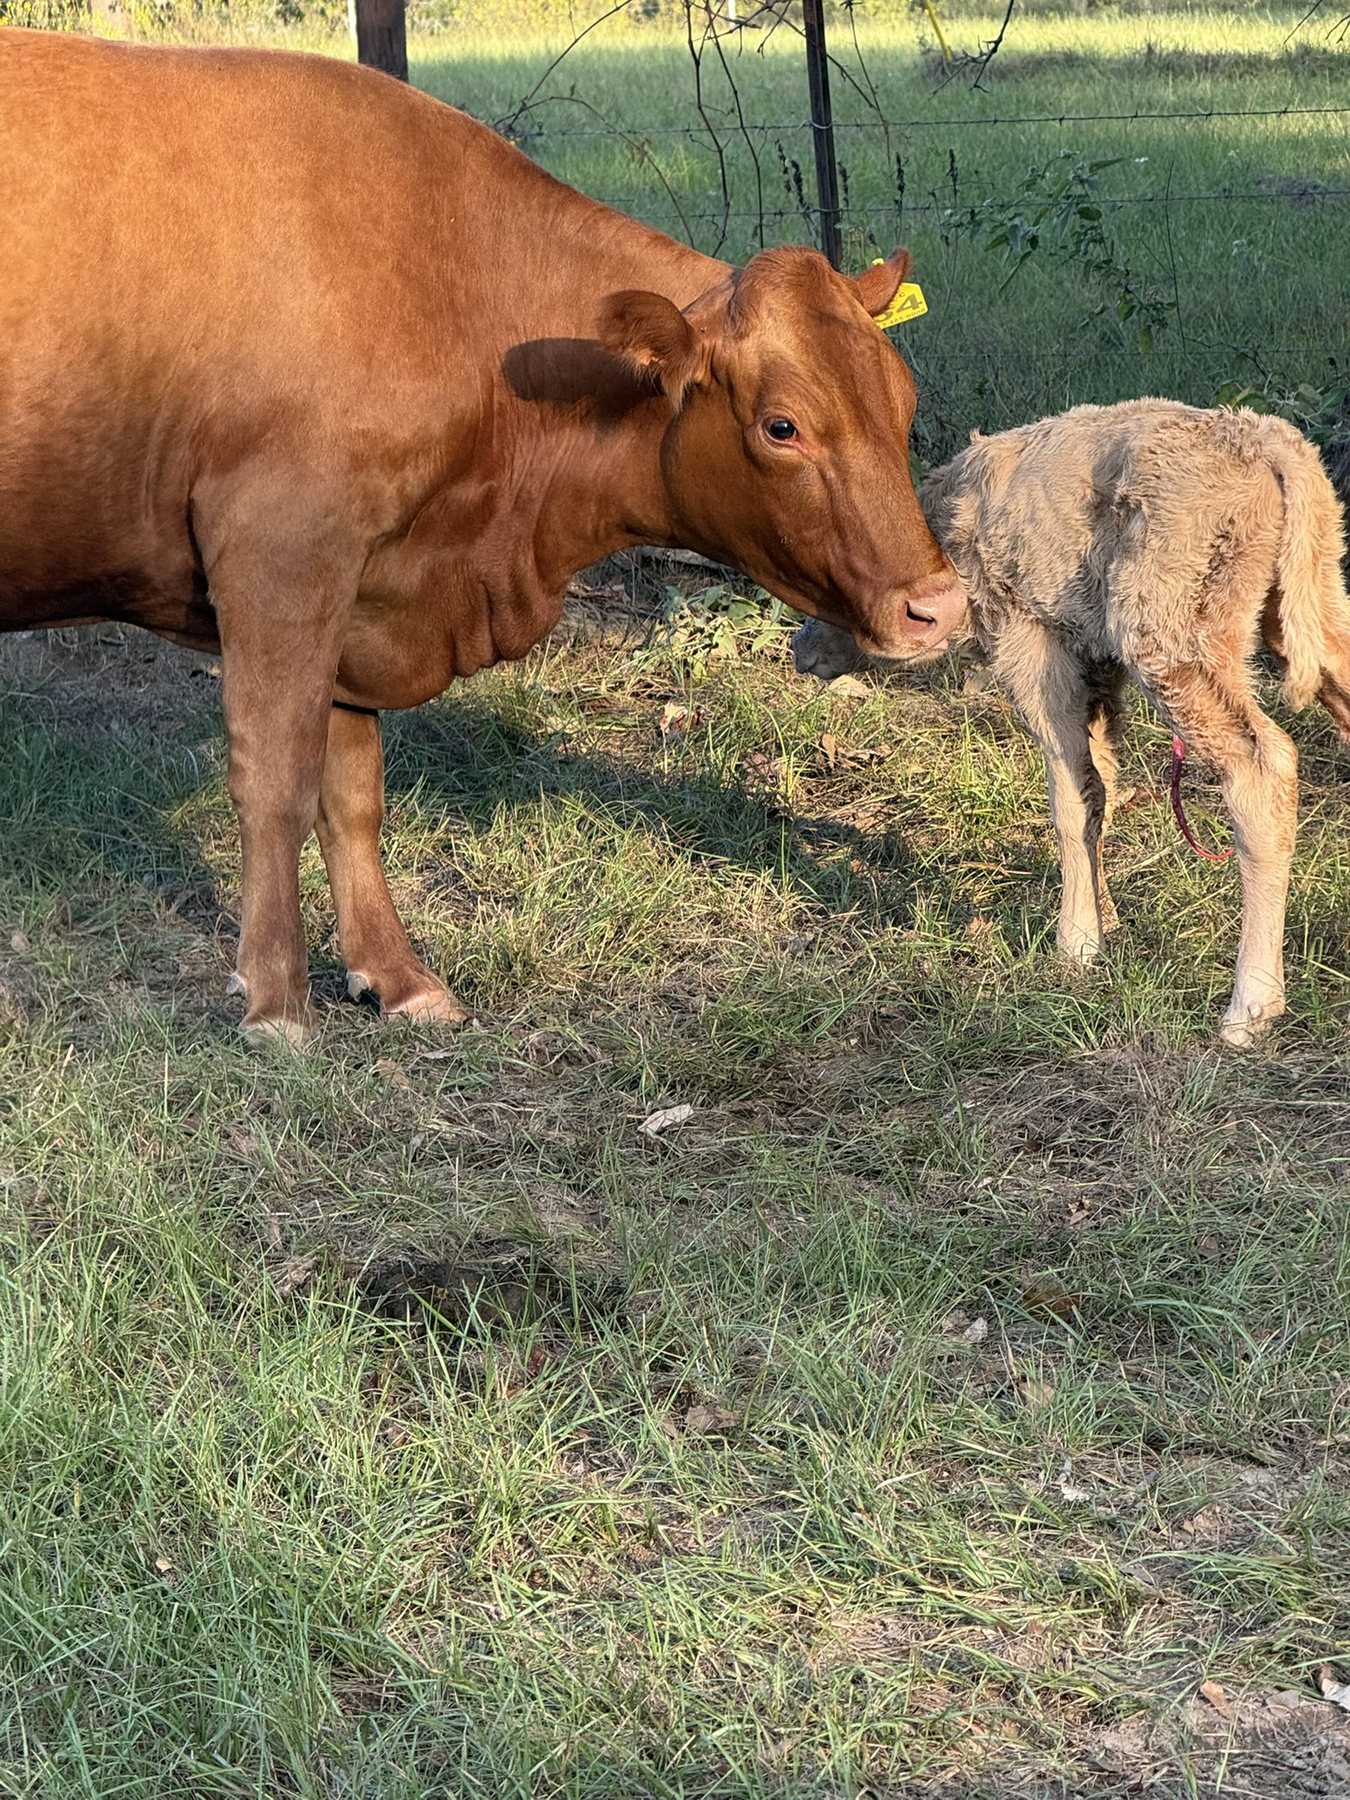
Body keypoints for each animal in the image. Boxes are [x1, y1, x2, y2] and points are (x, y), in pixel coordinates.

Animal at [0, 28, 964, 1043]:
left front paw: (396, 976)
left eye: (902, 396)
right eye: (782, 426)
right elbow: (275, 778)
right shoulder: (280, 557)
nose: (940, 608)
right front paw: (275, 1001)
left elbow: (352, 790)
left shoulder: (363, 588)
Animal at [792, 400, 1350, 1048]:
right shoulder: (1097, 663)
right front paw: (1105, 921)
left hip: (1172, 632)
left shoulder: (1031, 640)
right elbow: (1100, 783)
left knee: (1262, 769)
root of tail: (1263, 442)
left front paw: (1076, 946)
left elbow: (1071, 796)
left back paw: (1252, 1005)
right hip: (1311, 604)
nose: (801, 649)